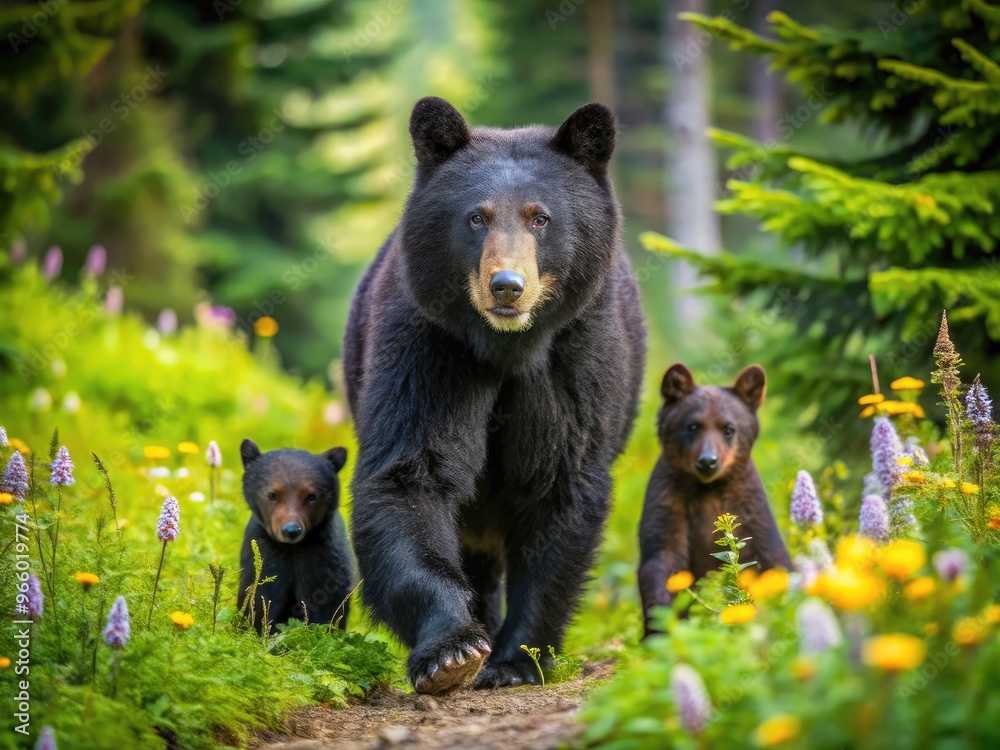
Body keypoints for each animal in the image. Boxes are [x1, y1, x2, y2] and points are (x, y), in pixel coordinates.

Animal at [237, 439, 356, 633]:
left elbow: (325, 602)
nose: (291, 530)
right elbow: (260, 598)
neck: (291, 549)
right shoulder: (266, 554)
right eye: (272, 494)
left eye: (311, 496)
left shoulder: (322, 557)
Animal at [343, 97, 646, 693]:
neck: (509, 349)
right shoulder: (431, 346)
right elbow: (411, 473)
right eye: (476, 216)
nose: (507, 285)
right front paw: (453, 650)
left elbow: (560, 485)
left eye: (540, 217)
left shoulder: (575, 360)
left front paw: (515, 659)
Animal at [638, 363, 793, 637]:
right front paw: (662, 631)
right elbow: (662, 561)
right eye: (692, 426)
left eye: (728, 429)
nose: (708, 461)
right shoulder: (669, 500)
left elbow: (771, 557)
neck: (707, 488)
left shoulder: (749, 504)